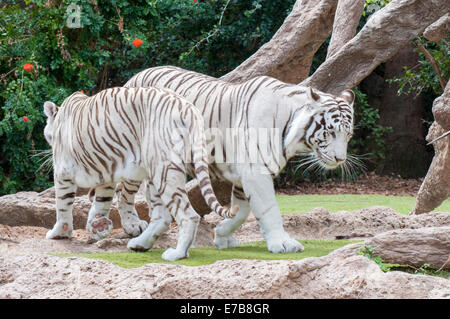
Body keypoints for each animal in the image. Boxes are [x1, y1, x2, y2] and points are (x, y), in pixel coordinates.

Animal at [43, 86, 239, 262]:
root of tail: (188, 108)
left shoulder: (62, 171)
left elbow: (63, 205)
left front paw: (59, 233)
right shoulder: (107, 173)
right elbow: (102, 201)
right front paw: (98, 225)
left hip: (164, 171)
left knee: (188, 216)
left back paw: (177, 254)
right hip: (155, 176)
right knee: (162, 217)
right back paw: (139, 244)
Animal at [109, 65, 356, 255]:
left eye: (348, 134)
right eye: (330, 132)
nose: (340, 158)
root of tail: (136, 75)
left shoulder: (244, 176)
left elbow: (242, 212)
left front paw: (221, 235)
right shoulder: (256, 172)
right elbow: (269, 209)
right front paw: (283, 243)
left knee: (159, 208)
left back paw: (142, 243)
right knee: (123, 192)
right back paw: (132, 226)